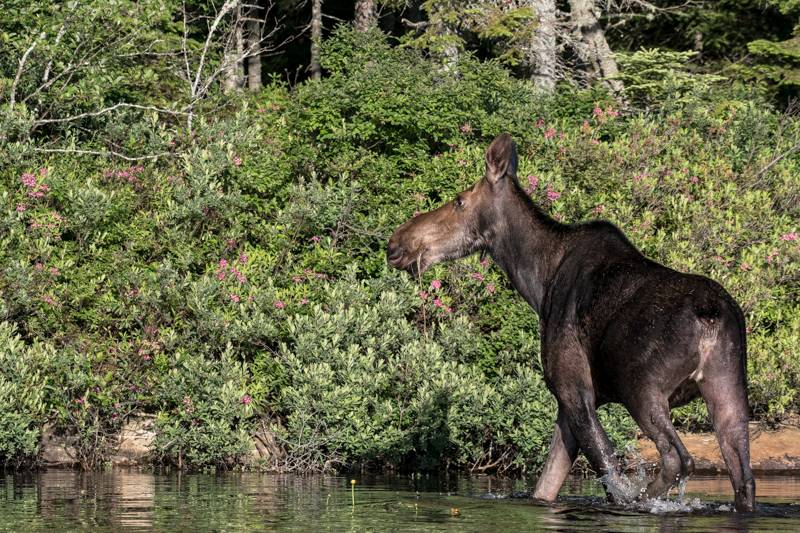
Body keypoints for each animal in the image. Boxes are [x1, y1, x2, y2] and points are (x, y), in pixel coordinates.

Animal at [388, 133, 756, 512]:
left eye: (459, 201)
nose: (397, 242)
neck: (537, 282)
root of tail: (710, 316)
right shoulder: (570, 404)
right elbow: (546, 485)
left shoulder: (573, 389)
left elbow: (609, 473)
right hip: (729, 388)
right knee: (743, 477)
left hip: (641, 387)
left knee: (677, 458)